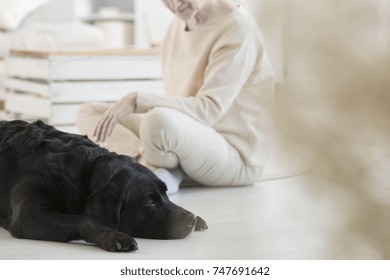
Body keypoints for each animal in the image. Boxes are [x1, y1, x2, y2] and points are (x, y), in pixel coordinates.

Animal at [0, 120, 207, 252]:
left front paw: (199, 219)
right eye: (149, 201)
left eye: (165, 192)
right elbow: (83, 219)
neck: (87, 169)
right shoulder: (28, 217)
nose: (191, 220)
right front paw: (112, 236)